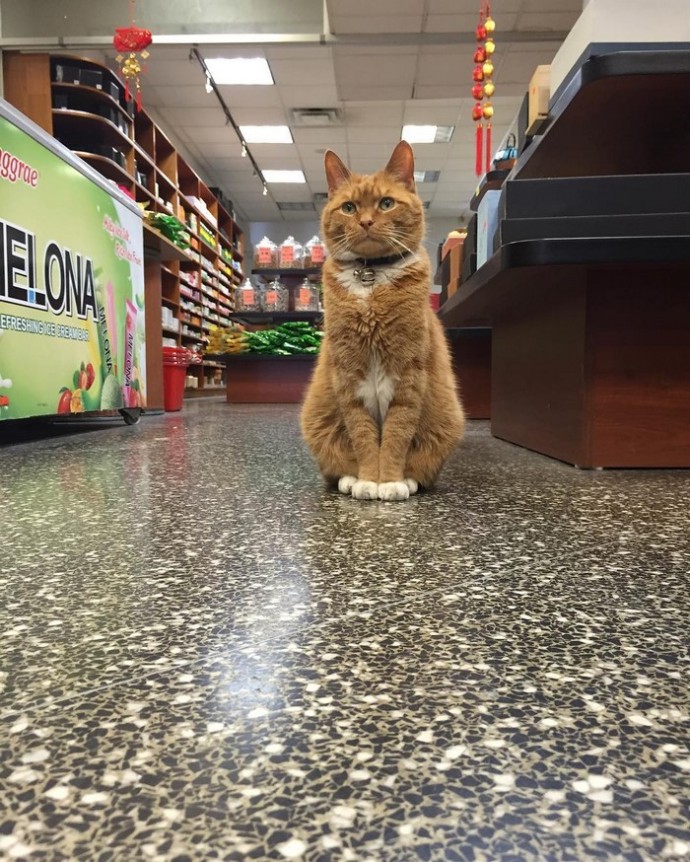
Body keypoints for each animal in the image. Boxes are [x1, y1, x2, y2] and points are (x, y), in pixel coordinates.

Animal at [300, 142, 462, 502]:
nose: (366, 221)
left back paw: (410, 480)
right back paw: (349, 478)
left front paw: (388, 481)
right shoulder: (348, 373)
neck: (370, 276)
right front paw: (366, 479)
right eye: (348, 207)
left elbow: (397, 433)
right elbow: (362, 434)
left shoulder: (408, 372)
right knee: (335, 465)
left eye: (386, 203)